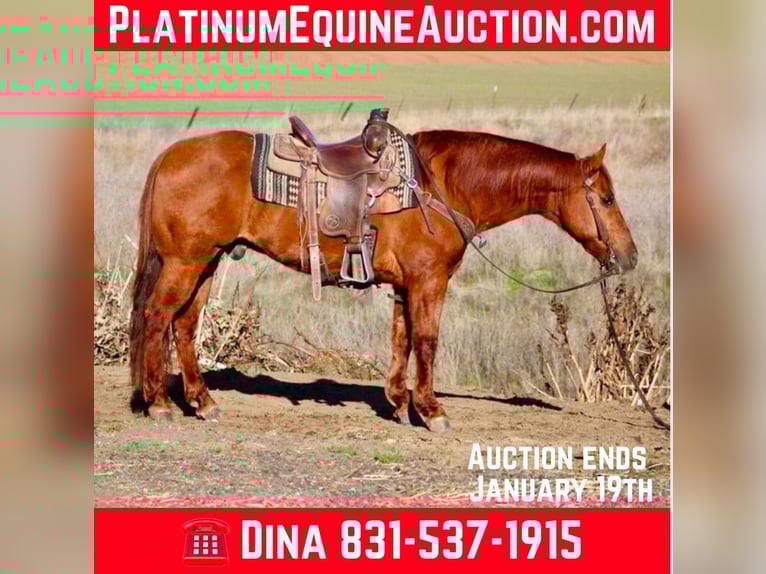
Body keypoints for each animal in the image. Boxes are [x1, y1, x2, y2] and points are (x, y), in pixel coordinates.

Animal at [128, 127, 637, 432]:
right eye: (607, 199)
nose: (629, 256)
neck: (439, 185)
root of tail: (169, 155)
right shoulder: (430, 283)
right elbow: (427, 341)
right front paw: (432, 411)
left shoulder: (406, 285)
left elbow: (402, 339)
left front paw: (398, 402)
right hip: (184, 262)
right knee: (156, 318)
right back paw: (160, 404)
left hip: (206, 262)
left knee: (184, 325)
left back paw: (202, 402)